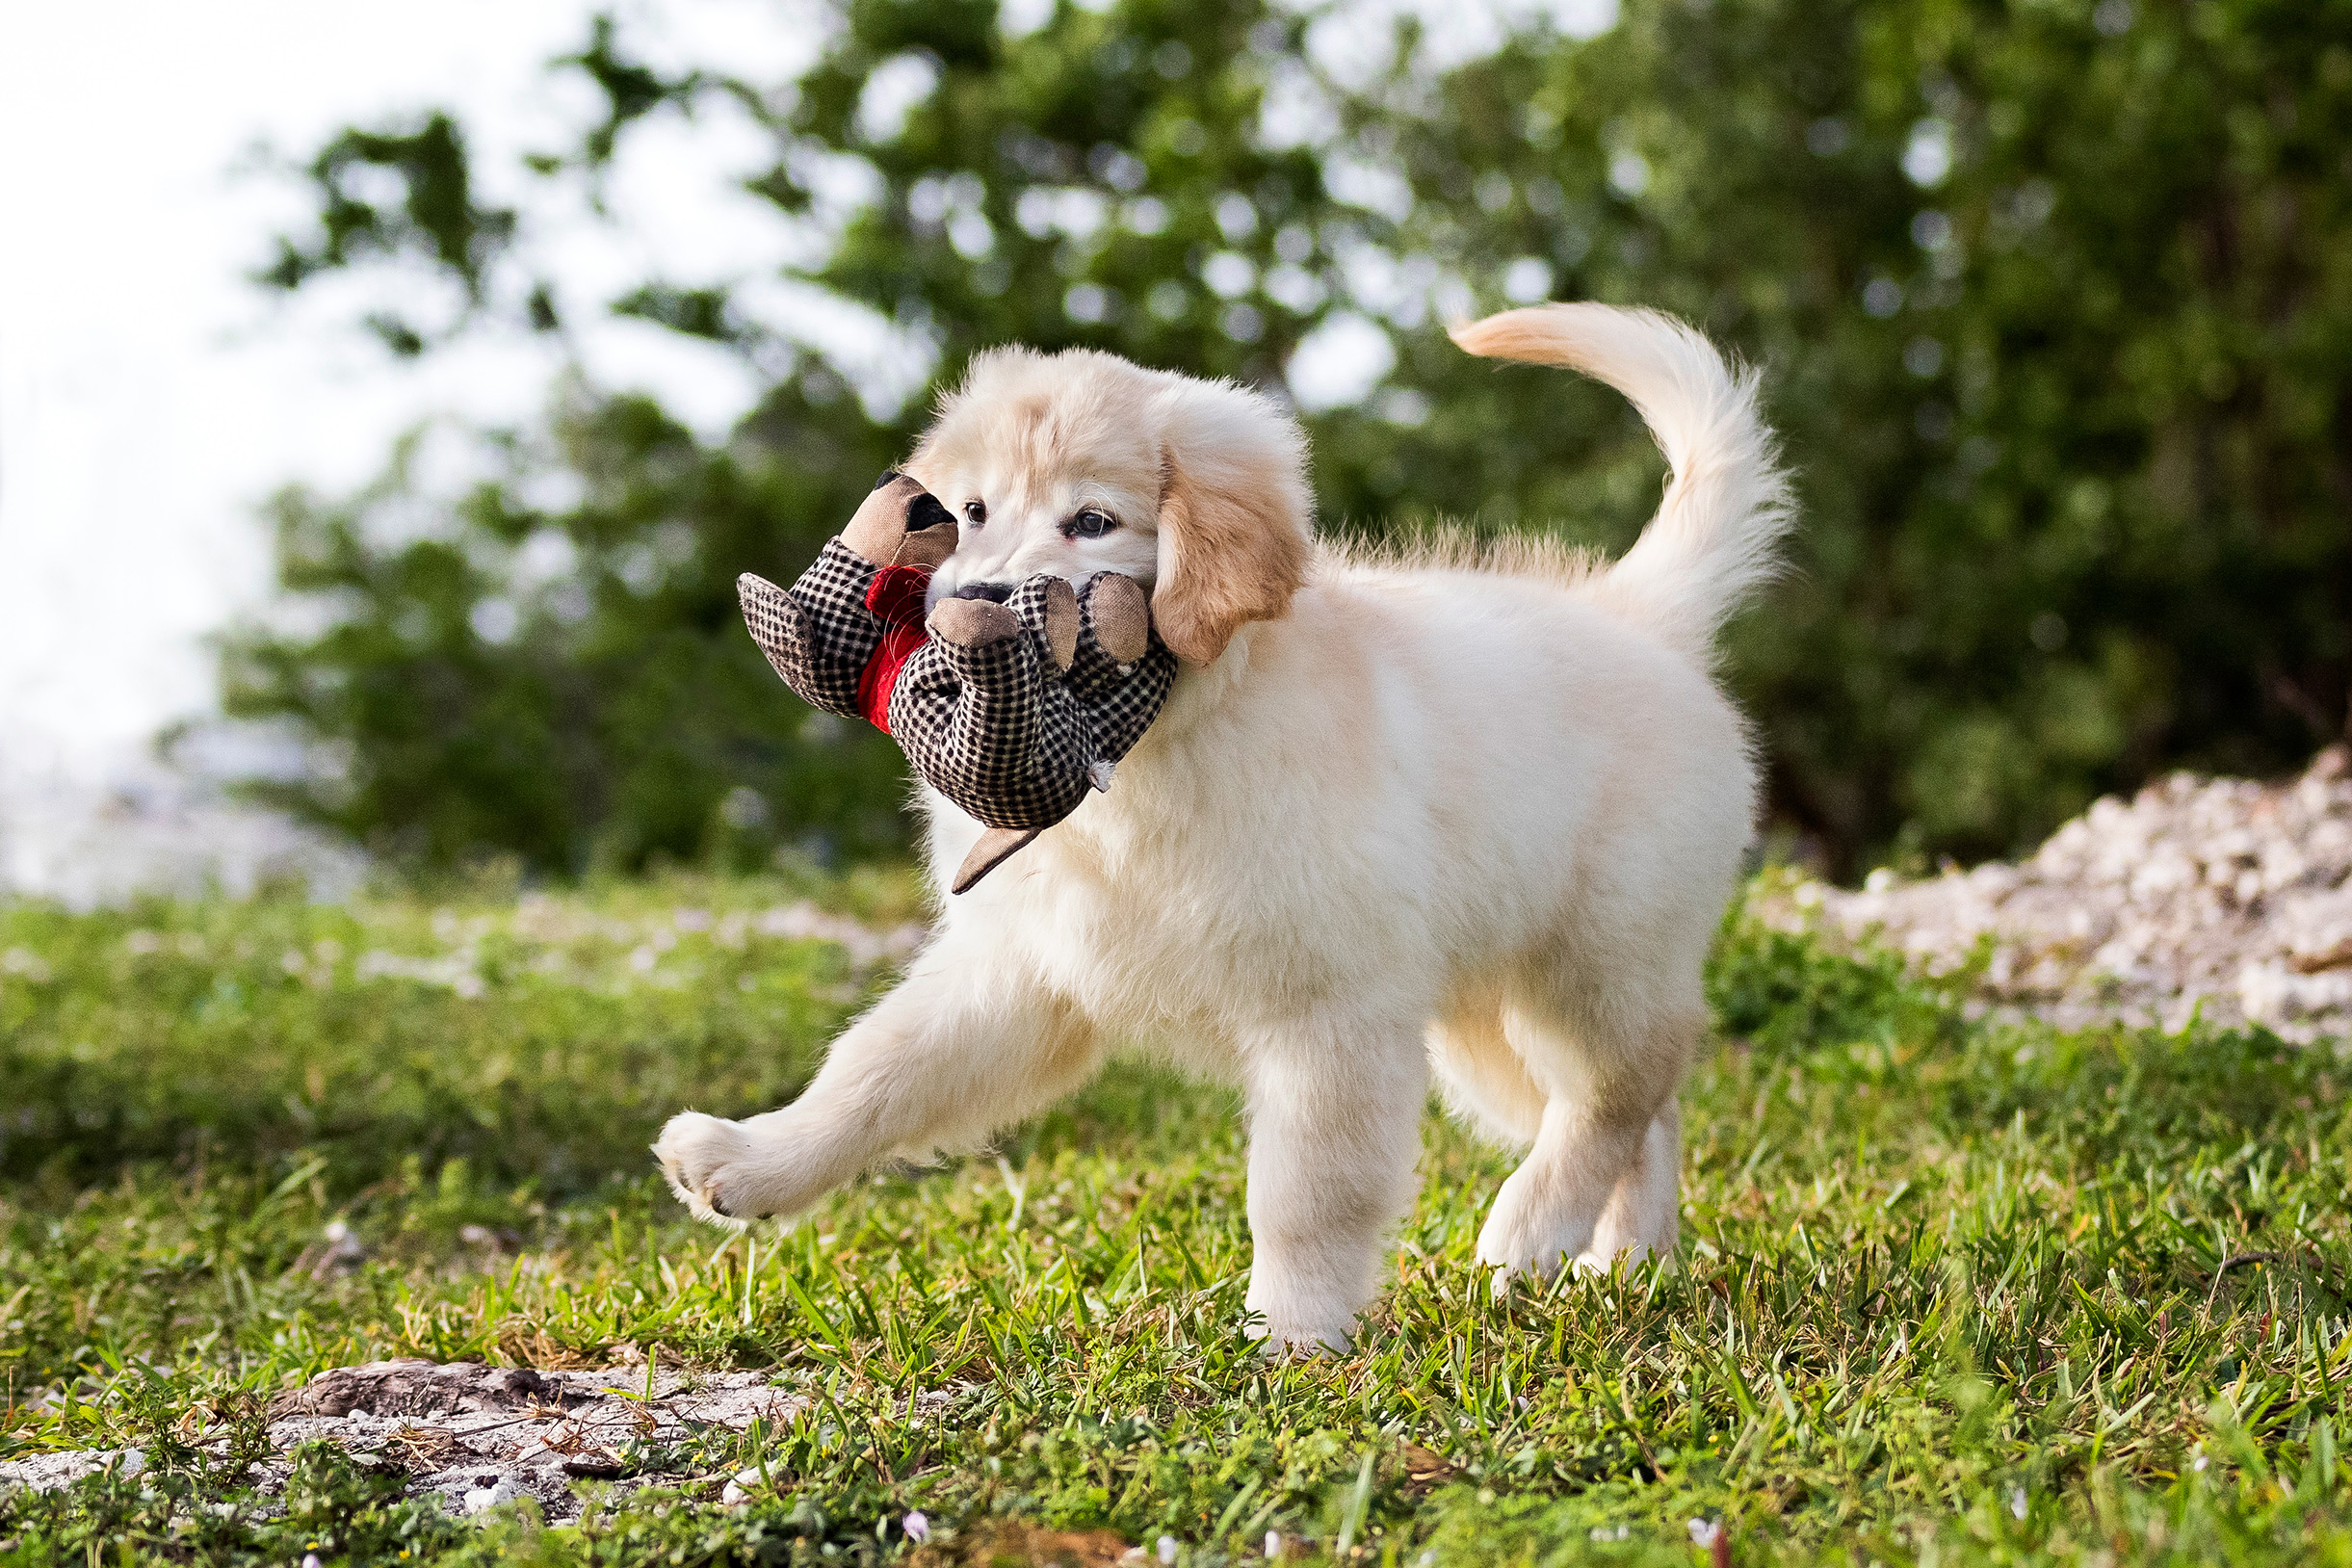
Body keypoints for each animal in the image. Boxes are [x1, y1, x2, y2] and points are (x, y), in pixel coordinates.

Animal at [653, 302, 1787, 1353]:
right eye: (971, 511)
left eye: (1092, 521)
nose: (970, 602)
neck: (1143, 752)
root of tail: (1641, 616)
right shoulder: (1024, 968)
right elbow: (875, 1068)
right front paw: (752, 1160)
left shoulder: (1330, 1012)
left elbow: (1305, 1193)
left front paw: (1293, 1339)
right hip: (1480, 1013)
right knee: (1644, 1105)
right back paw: (1625, 1264)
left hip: (1593, 953)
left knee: (1620, 1085)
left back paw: (1533, 1230)